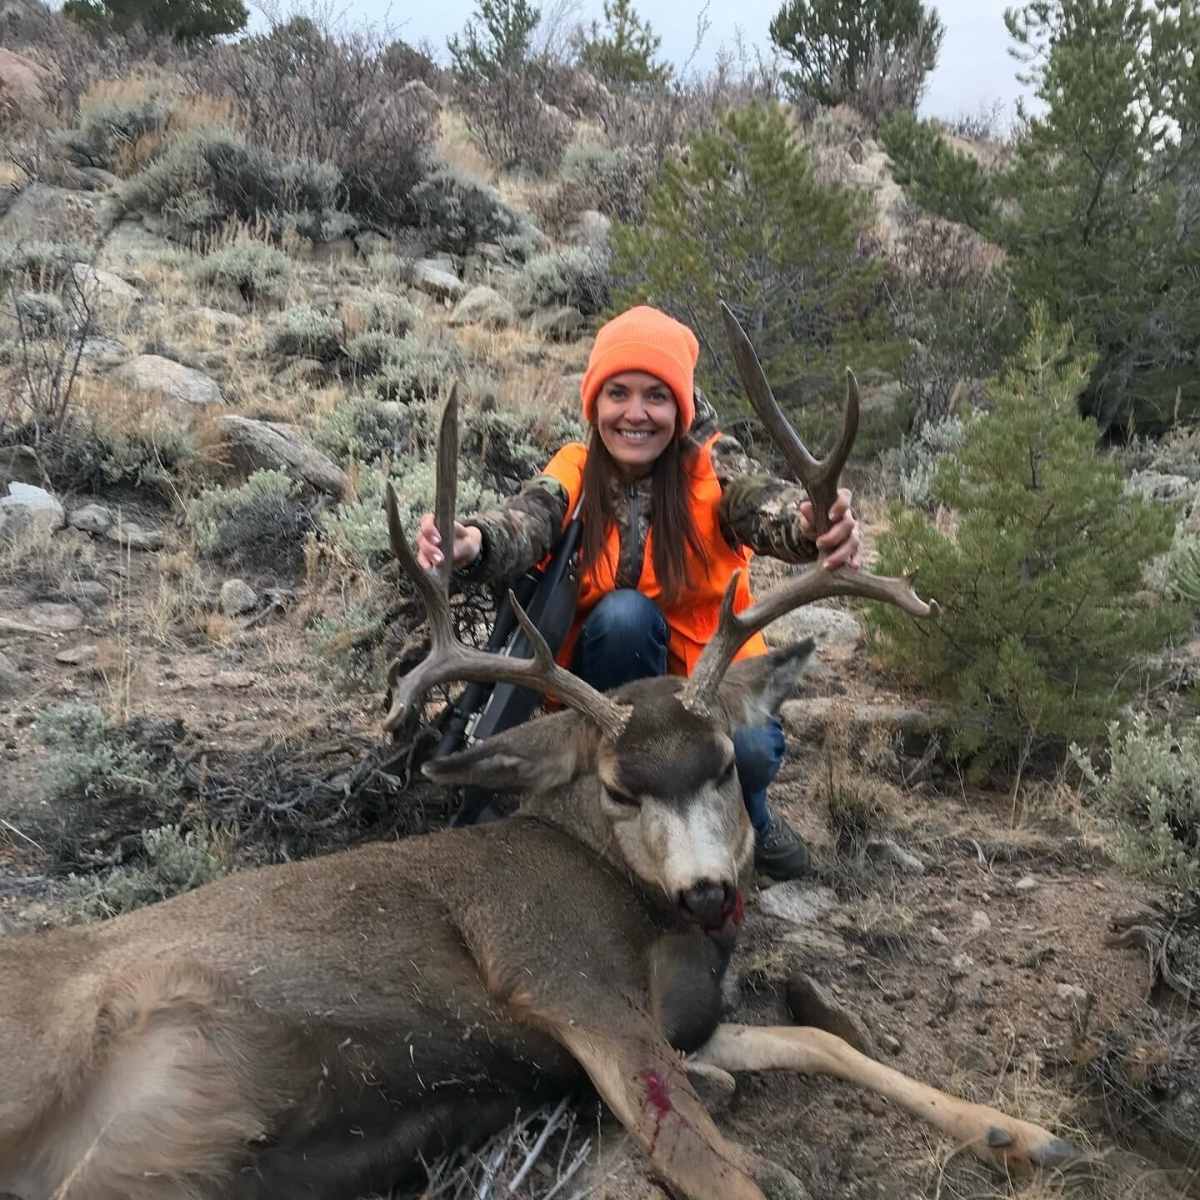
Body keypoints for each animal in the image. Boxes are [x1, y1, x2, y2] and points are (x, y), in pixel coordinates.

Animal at [0, 309, 1080, 1200]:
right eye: (615, 788)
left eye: (726, 764)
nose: (708, 893)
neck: (643, 915)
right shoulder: (565, 978)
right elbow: (714, 1168)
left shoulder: (681, 1014)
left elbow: (820, 1040)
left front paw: (1022, 1134)